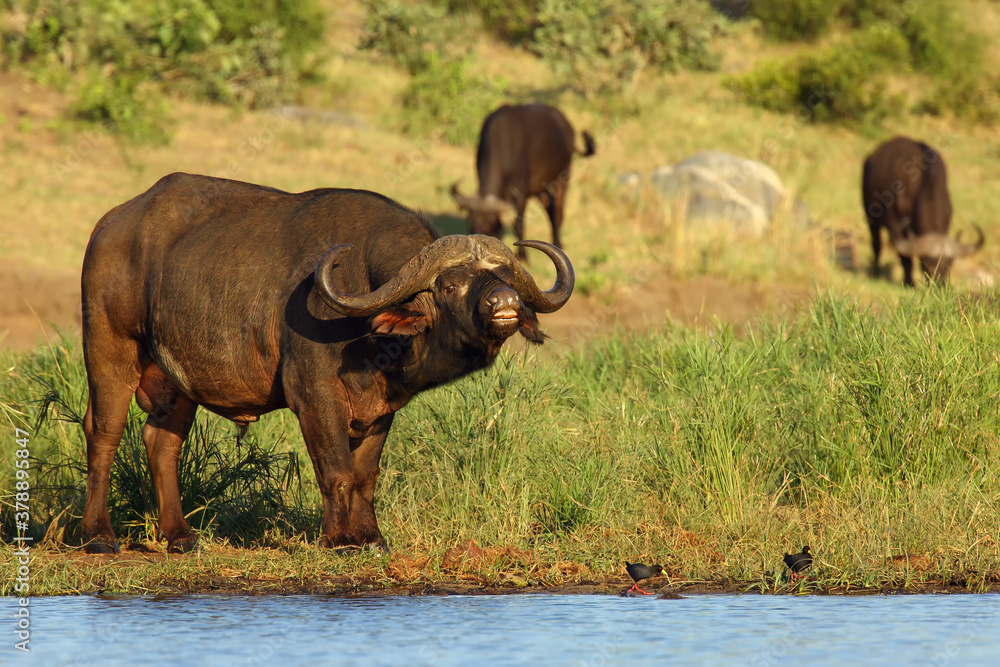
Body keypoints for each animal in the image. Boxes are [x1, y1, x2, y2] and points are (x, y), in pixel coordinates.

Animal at [81, 172, 576, 552]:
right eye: (450, 284)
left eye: (503, 276)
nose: (505, 303)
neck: (370, 335)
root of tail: (107, 225)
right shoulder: (314, 394)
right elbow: (336, 470)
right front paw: (339, 540)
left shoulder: (381, 408)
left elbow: (366, 476)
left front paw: (372, 538)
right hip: (109, 348)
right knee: (103, 433)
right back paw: (98, 535)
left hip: (177, 379)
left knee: (161, 441)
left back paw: (180, 536)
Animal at [448, 103, 592, 262]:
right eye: (471, 223)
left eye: (491, 226)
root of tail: (566, 126)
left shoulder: (521, 193)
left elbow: (518, 223)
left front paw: (523, 255)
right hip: (541, 188)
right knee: (549, 209)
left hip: (563, 176)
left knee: (557, 211)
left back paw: (558, 243)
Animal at [860, 136, 984, 284]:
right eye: (927, 262)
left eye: (950, 263)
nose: (939, 284)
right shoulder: (894, 223)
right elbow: (905, 257)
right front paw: (909, 282)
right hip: (870, 216)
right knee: (876, 244)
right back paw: (876, 271)